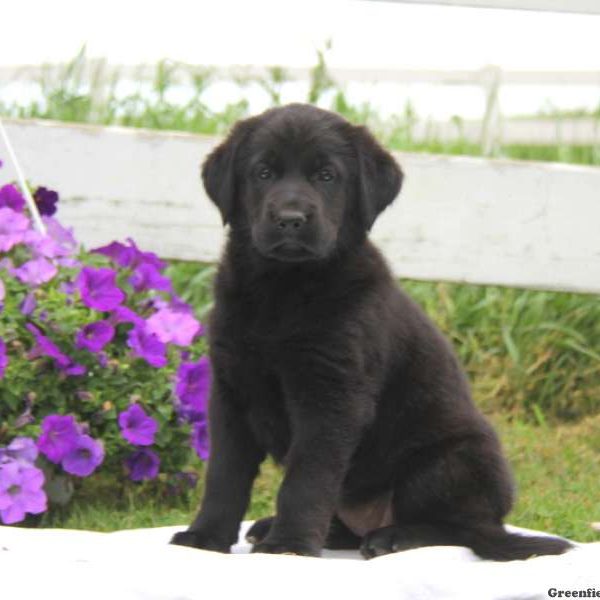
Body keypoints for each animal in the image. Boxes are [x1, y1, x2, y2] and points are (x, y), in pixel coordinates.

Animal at [170, 102, 572, 556]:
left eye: (327, 175)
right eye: (263, 172)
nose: (290, 220)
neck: (283, 288)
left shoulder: (332, 394)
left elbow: (306, 478)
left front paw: (289, 545)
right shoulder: (231, 388)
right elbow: (224, 475)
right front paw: (206, 536)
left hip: (454, 460)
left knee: (460, 529)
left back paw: (391, 537)